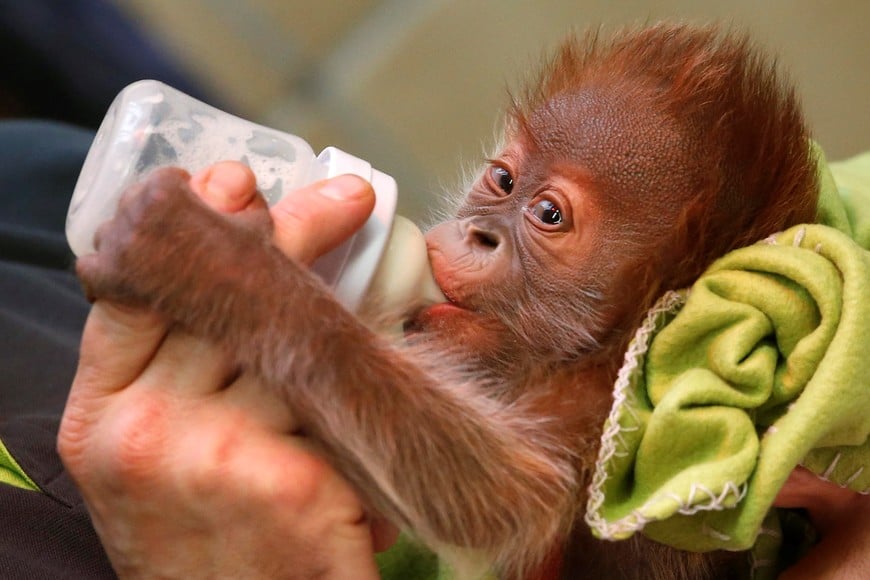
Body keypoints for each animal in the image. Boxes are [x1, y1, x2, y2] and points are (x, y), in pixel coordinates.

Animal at [75, 23, 820, 579]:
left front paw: (207, 254)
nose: (477, 235)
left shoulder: (616, 394)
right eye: (503, 180)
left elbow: (503, 494)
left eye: (548, 215)